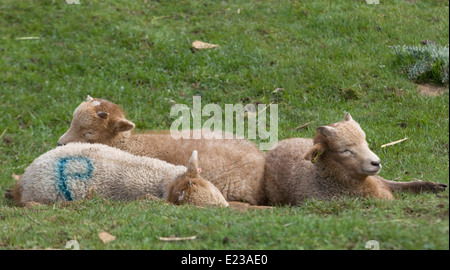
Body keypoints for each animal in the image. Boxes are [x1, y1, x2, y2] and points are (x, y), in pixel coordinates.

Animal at [264, 113, 446, 205]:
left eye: (365, 141)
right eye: (345, 151)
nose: (376, 163)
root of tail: (277, 145)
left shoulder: (382, 181)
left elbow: (409, 185)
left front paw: (434, 186)